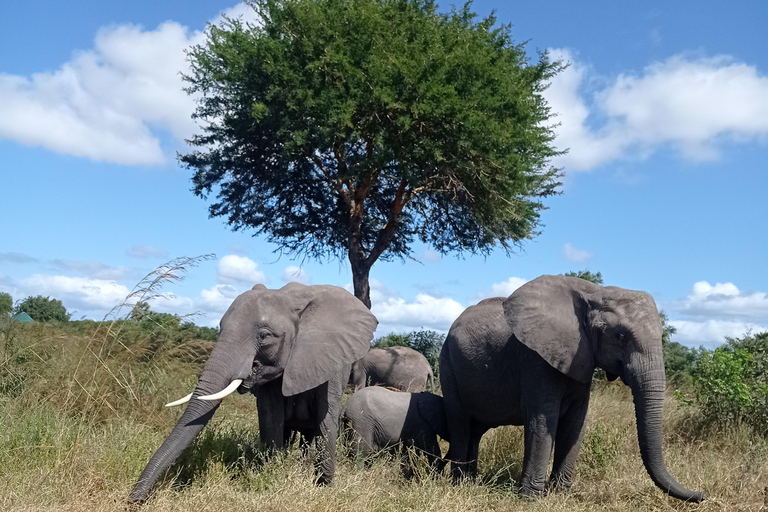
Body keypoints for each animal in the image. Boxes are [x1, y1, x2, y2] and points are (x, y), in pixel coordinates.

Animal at [130, 284, 380, 504]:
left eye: (265, 335)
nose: (135, 501)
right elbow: (271, 417)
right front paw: (273, 473)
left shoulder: (330, 358)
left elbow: (325, 419)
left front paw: (321, 486)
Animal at [440, 274, 704, 502]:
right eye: (620, 336)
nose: (703, 494)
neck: (594, 293)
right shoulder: (535, 359)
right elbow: (543, 420)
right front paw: (530, 499)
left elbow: (575, 422)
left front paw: (560, 494)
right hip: (448, 363)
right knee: (460, 423)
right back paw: (459, 483)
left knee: (476, 430)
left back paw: (470, 480)